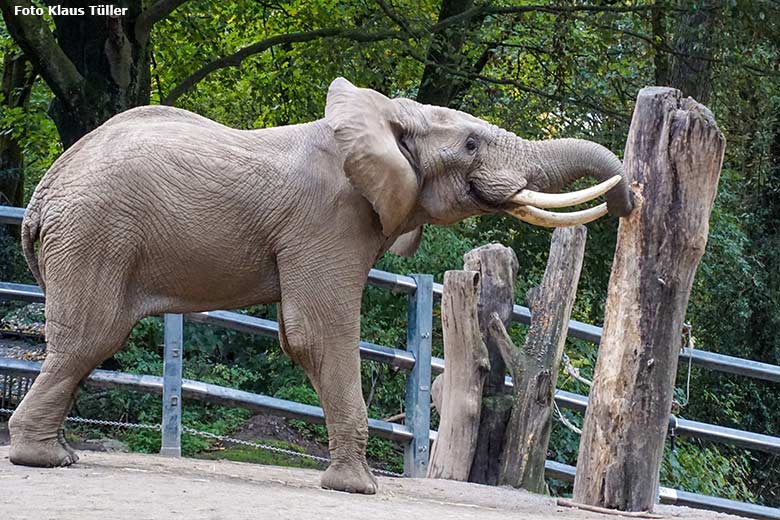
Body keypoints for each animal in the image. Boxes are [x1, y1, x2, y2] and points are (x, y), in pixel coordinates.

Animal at [7, 76, 632, 492]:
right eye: (471, 144)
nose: (630, 201)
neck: (384, 116)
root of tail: (42, 196)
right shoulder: (328, 221)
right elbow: (316, 333)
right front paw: (359, 489)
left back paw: (59, 453)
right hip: (94, 236)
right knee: (92, 337)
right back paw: (45, 459)